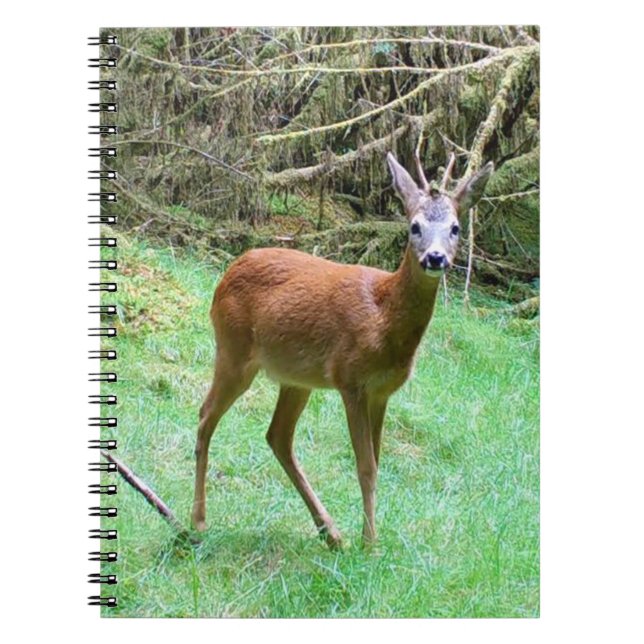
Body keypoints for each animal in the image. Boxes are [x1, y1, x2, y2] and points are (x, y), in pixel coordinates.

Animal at [192, 151, 493, 549]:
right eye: (414, 226)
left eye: (455, 228)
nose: (435, 258)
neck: (383, 319)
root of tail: (227, 272)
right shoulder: (351, 380)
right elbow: (365, 466)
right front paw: (371, 544)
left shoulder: (382, 393)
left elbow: (377, 461)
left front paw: (366, 539)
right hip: (233, 350)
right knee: (206, 416)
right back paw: (198, 522)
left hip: (296, 378)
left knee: (278, 436)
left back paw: (330, 532)